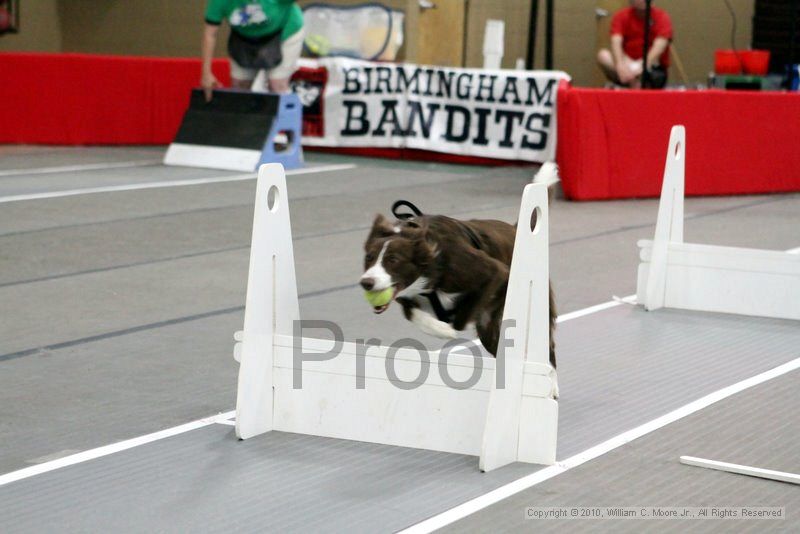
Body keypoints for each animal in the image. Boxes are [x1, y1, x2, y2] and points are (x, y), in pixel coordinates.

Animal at [360, 164, 556, 372]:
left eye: (393, 259)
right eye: (369, 258)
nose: (366, 283)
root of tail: (515, 228)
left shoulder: (492, 271)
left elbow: (462, 317)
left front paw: (449, 328)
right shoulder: (407, 298)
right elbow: (412, 313)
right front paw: (441, 328)